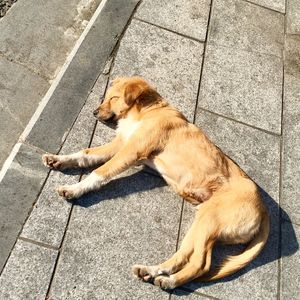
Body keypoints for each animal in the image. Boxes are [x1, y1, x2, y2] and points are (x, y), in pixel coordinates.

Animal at [42, 76, 270, 290]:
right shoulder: (121, 144)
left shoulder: (131, 151)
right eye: (106, 97)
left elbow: (100, 172)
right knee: (183, 256)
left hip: (211, 220)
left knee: (201, 264)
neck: (147, 111)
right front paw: (58, 159)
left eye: (114, 97)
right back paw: (151, 271)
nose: (94, 112)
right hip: (201, 222)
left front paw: (74, 189)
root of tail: (264, 209)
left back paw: (171, 282)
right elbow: (86, 154)